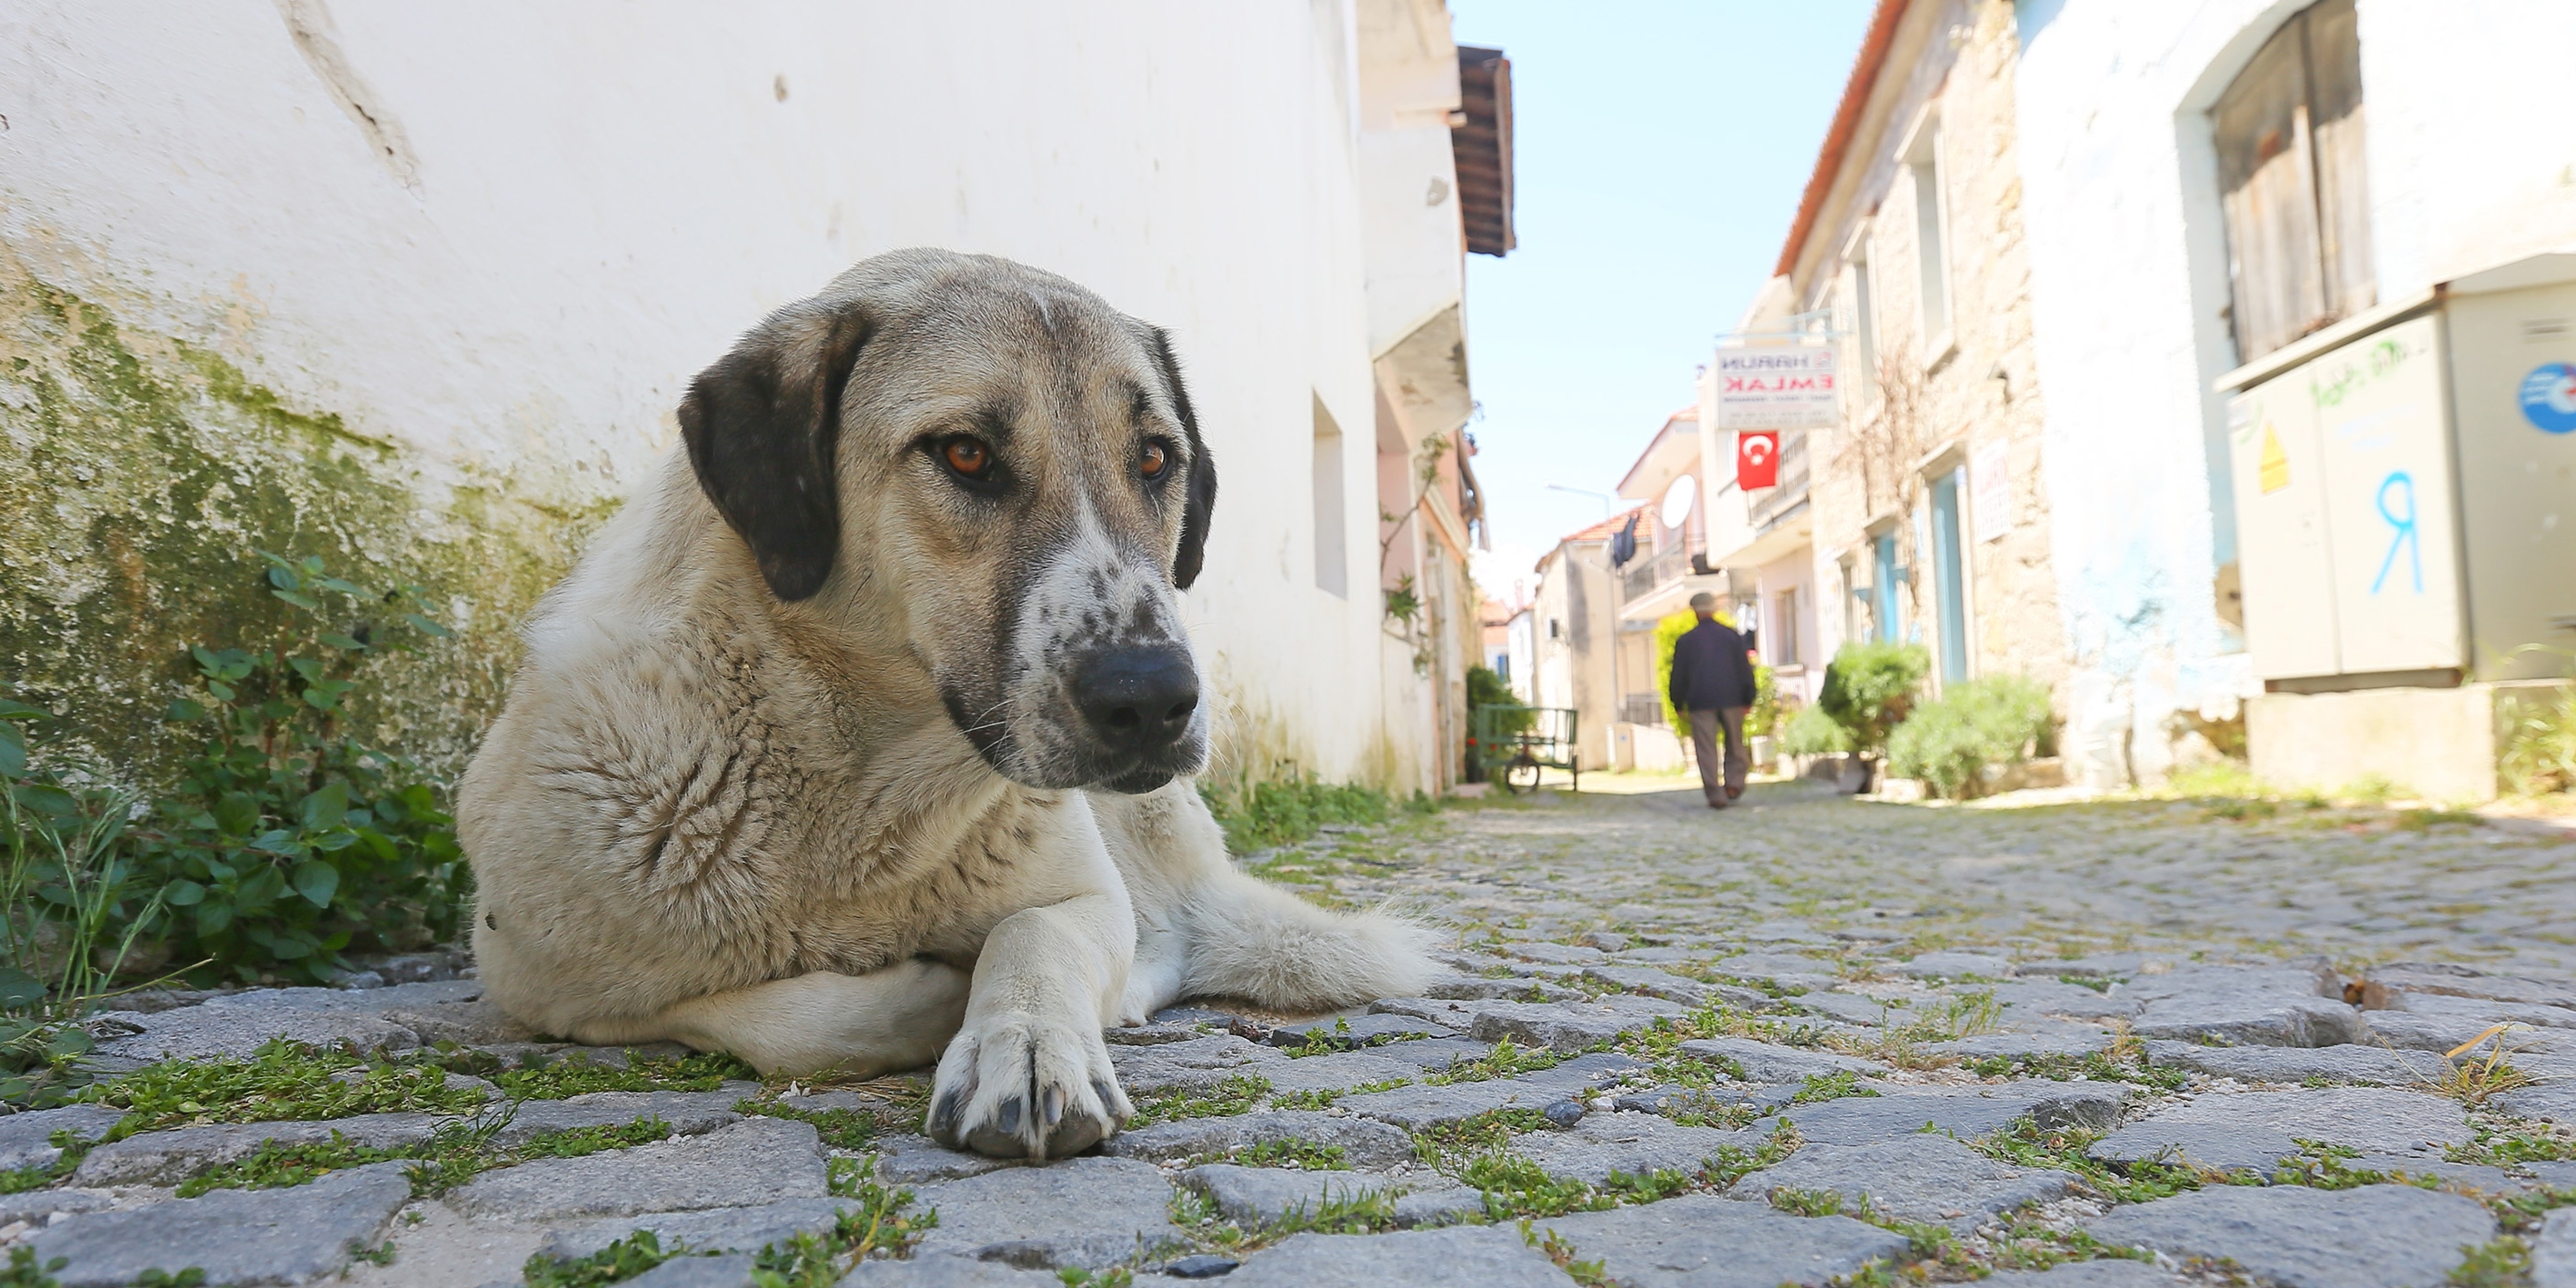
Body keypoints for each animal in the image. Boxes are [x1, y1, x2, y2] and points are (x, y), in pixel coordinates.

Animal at [458, 248, 1432, 1159]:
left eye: (1154, 458)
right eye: (965, 453)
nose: (1155, 700)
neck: (855, 794)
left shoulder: (1083, 896)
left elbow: (1032, 935)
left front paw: (1026, 1047)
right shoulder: (539, 986)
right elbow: (789, 1021)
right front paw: (932, 996)